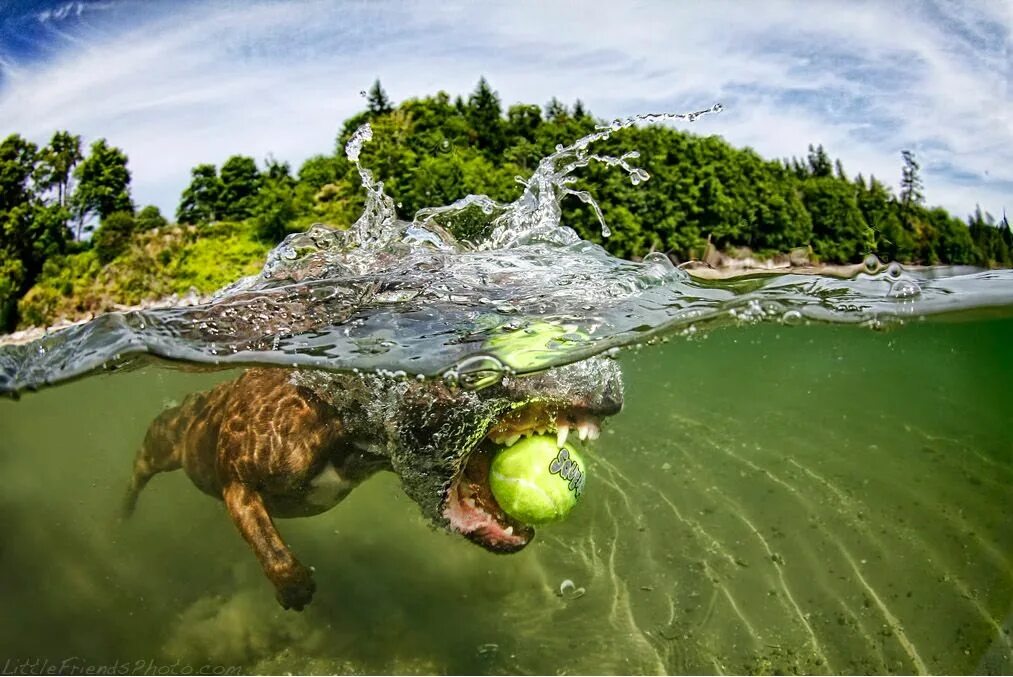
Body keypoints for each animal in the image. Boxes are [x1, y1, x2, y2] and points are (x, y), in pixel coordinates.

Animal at [122, 358, 619, 608]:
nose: (610, 393)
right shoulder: (237, 486)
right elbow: (270, 547)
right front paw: (294, 587)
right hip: (164, 440)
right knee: (140, 467)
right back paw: (124, 512)